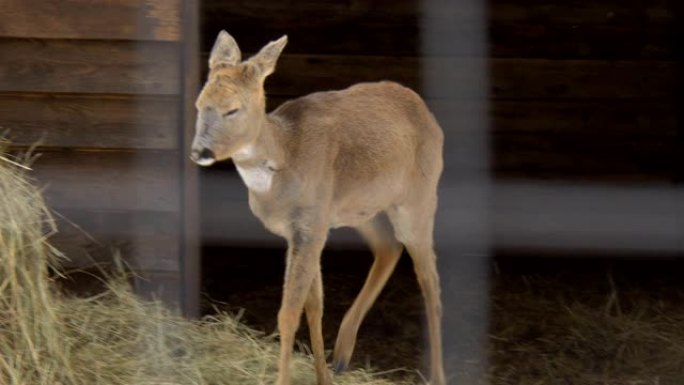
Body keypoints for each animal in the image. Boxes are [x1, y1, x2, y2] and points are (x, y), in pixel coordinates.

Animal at [192, 30, 446, 384]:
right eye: (200, 104)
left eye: (232, 109)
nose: (199, 151)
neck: (285, 155)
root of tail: (429, 115)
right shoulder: (305, 228)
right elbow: (314, 304)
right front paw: (321, 375)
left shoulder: (310, 223)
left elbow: (289, 312)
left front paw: (283, 380)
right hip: (359, 207)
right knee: (389, 247)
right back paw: (341, 354)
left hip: (419, 195)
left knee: (429, 279)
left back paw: (438, 375)